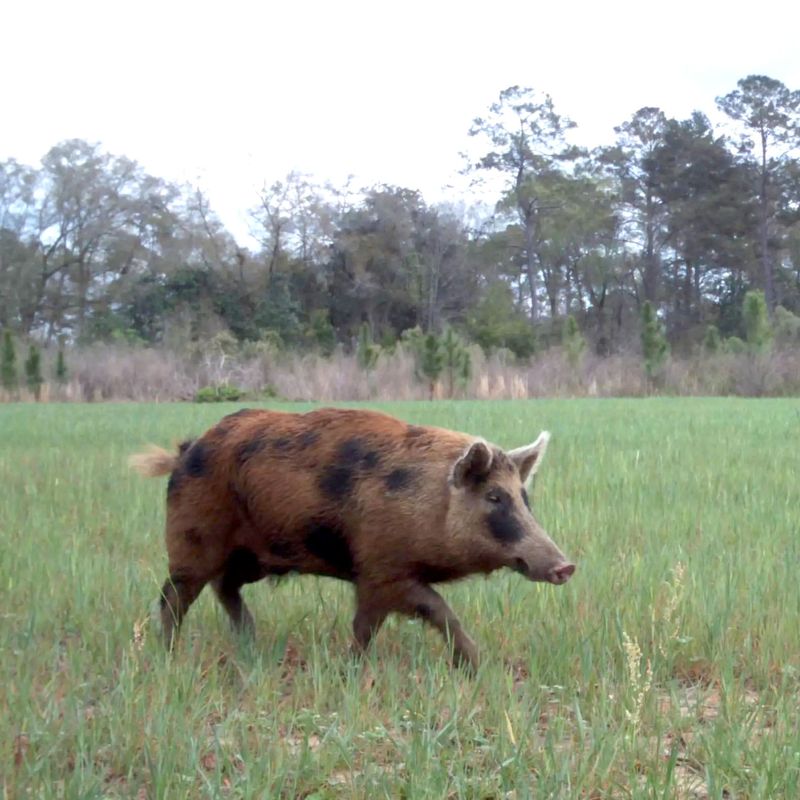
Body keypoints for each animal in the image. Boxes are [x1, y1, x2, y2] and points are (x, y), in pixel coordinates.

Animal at [134, 406, 580, 668]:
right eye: (494, 497)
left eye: (524, 498)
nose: (566, 565)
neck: (428, 505)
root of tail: (187, 450)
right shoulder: (380, 570)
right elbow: (427, 611)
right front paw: (477, 662)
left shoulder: (379, 576)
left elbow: (377, 622)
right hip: (192, 541)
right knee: (174, 596)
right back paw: (169, 653)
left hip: (254, 557)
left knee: (224, 587)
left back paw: (250, 640)